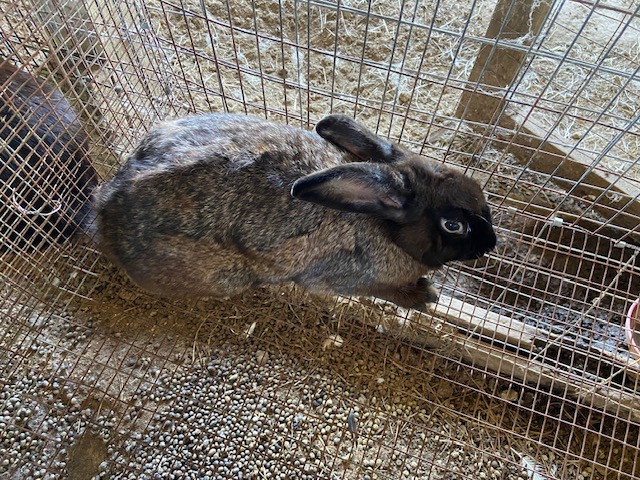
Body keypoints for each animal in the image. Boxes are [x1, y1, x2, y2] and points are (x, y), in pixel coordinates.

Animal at [91, 112, 496, 310]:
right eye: (452, 225)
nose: (491, 243)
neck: (386, 228)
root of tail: (105, 206)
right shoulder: (343, 280)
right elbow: (381, 290)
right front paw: (424, 297)